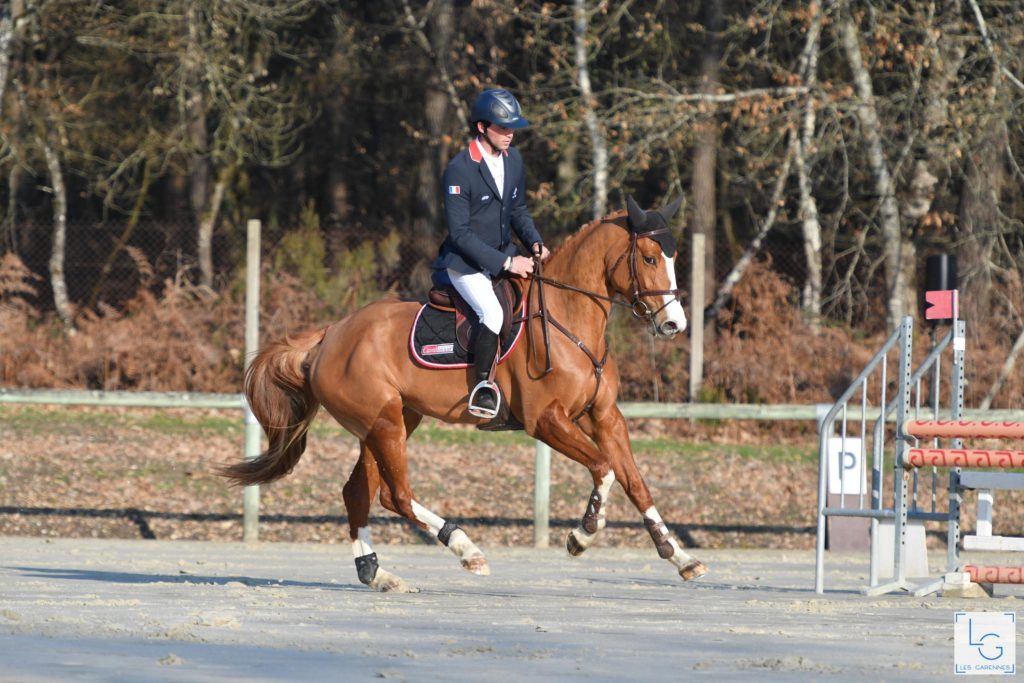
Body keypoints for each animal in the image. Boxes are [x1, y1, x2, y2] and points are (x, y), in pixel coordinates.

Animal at [221, 194, 708, 589]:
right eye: (649, 258)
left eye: (673, 256)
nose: (675, 324)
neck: (570, 317)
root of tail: (330, 335)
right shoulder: (547, 421)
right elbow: (604, 469)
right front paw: (583, 534)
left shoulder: (604, 416)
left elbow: (635, 482)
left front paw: (680, 557)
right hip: (384, 424)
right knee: (396, 495)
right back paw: (465, 549)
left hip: (391, 421)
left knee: (360, 493)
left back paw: (378, 574)